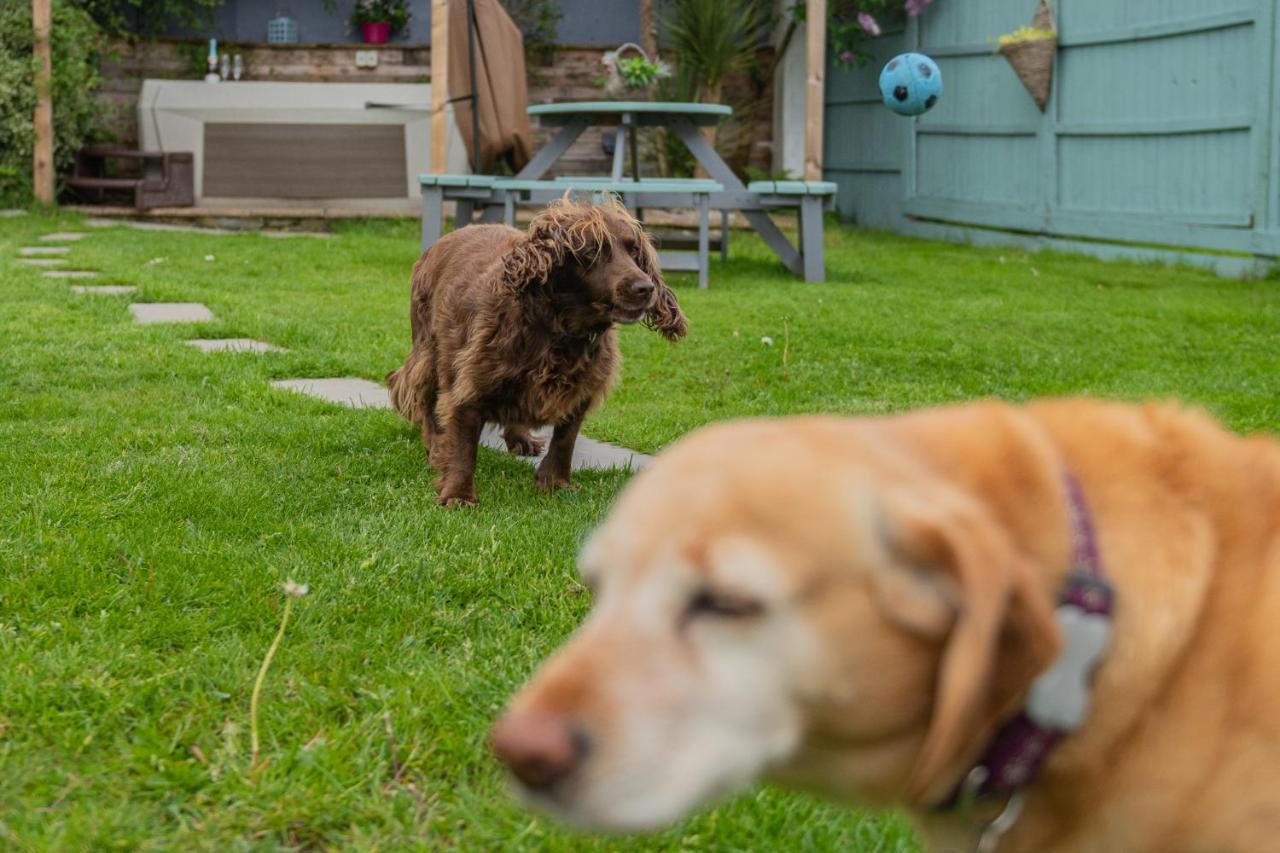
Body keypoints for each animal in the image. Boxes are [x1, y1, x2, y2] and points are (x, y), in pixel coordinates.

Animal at [386, 199, 686, 504]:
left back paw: (521, 438)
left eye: (634, 250)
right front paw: (458, 494)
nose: (645, 287)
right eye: (592, 251)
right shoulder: (469, 381)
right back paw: (435, 444)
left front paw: (554, 482)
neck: (559, 331)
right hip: (429, 349)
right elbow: (464, 443)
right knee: (424, 394)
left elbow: (565, 440)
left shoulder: (581, 388)